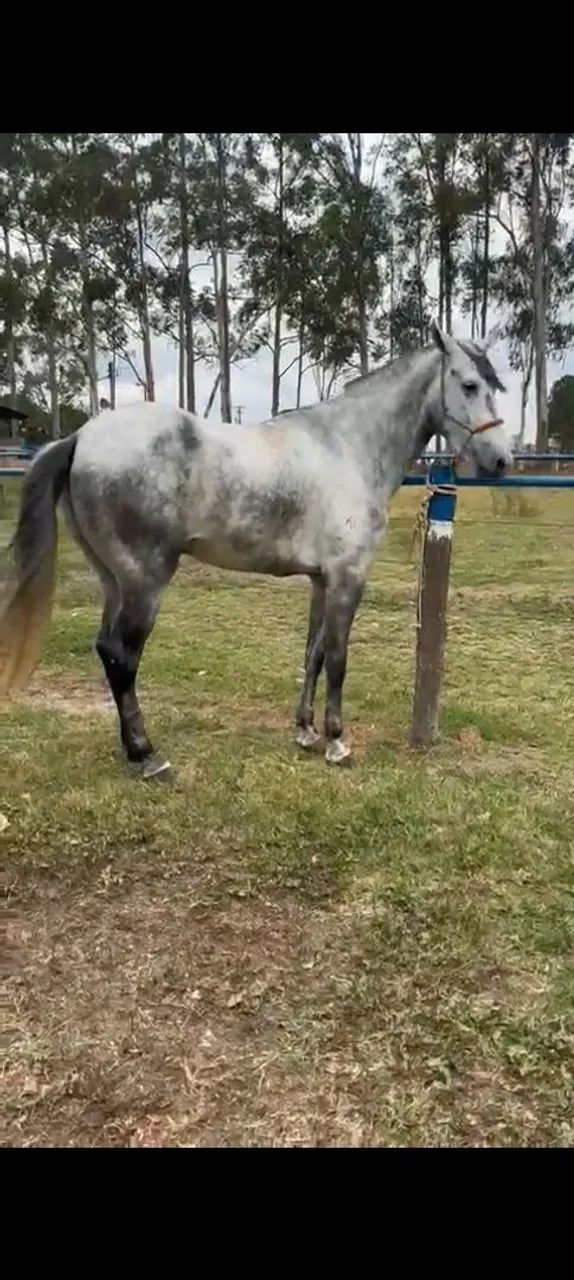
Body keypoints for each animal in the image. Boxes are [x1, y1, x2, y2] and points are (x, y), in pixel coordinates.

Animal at [0, 323, 510, 779]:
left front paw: (306, 733)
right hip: (144, 582)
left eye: (495, 385)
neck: (349, 448)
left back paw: (133, 748)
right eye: (469, 384)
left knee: (107, 650)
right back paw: (149, 756)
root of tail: (81, 438)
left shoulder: (321, 580)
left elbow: (314, 654)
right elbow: (339, 658)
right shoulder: (347, 577)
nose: (501, 460)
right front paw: (337, 743)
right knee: (122, 657)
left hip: (113, 580)